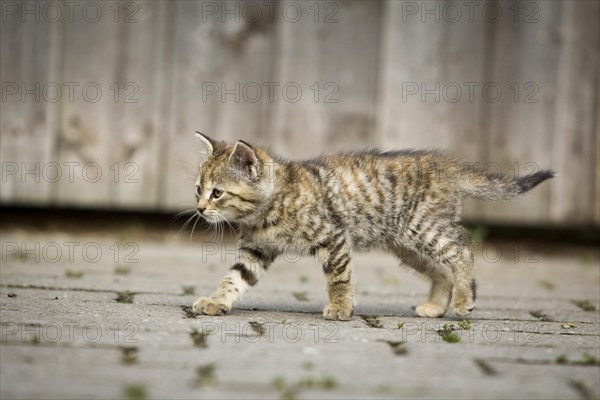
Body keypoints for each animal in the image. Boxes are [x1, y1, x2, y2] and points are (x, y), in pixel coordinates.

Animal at [191, 133, 552, 320]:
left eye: (217, 192)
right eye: (198, 189)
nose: (199, 209)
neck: (267, 210)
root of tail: (446, 165)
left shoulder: (334, 236)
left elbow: (339, 278)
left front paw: (340, 307)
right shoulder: (256, 251)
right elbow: (234, 278)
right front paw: (216, 301)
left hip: (423, 227)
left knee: (462, 249)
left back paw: (463, 300)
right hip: (407, 245)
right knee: (441, 270)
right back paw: (436, 306)